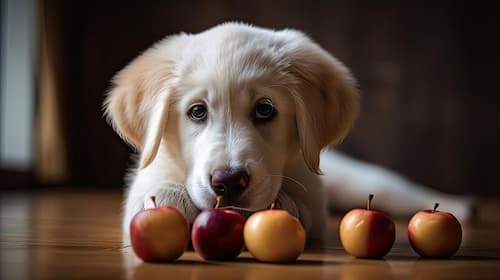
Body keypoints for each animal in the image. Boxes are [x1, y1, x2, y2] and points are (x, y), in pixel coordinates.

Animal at [103, 23, 474, 244]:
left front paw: (285, 205)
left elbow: (307, 210)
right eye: (197, 111)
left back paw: (461, 205)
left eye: (265, 110)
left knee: (389, 186)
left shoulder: (314, 193)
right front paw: (169, 196)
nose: (228, 182)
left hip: (355, 180)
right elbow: (149, 192)